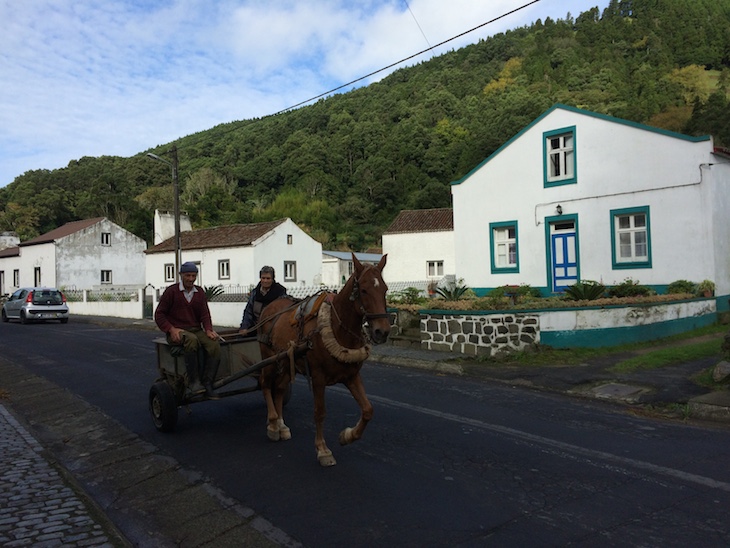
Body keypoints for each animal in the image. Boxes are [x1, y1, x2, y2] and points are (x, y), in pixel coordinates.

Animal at [258, 254, 390, 466]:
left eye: (384, 289)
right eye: (363, 290)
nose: (382, 331)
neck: (336, 328)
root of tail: (270, 307)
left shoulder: (351, 376)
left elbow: (368, 409)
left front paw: (347, 436)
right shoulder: (318, 378)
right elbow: (320, 413)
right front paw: (322, 450)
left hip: (287, 361)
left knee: (279, 388)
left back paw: (281, 424)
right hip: (269, 359)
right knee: (265, 383)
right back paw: (272, 423)